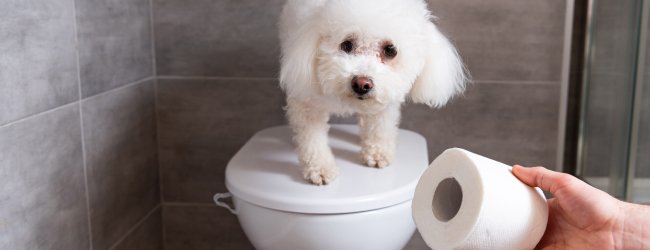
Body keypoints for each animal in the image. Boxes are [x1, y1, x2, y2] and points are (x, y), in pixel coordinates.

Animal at [278, 0, 466, 184]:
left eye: (390, 50)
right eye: (346, 45)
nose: (361, 84)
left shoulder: (385, 103)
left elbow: (379, 127)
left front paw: (377, 153)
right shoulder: (306, 103)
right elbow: (312, 140)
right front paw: (320, 168)